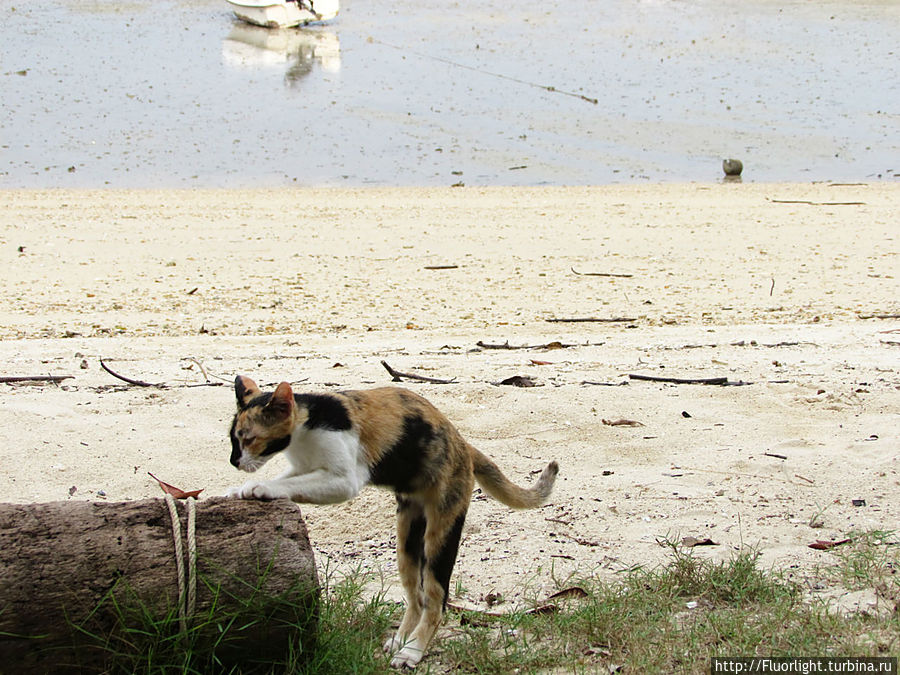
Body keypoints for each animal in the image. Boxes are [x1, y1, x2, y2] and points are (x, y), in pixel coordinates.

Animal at [227, 378, 556, 668]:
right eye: (233, 438)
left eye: (248, 438)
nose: (234, 462)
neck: (304, 427)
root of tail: (463, 443)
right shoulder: (304, 468)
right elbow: (288, 478)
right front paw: (238, 489)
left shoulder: (344, 480)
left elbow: (287, 484)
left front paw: (260, 488)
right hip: (407, 542)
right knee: (416, 599)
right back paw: (400, 641)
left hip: (439, 536)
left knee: (436, 601)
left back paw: (412, 651)